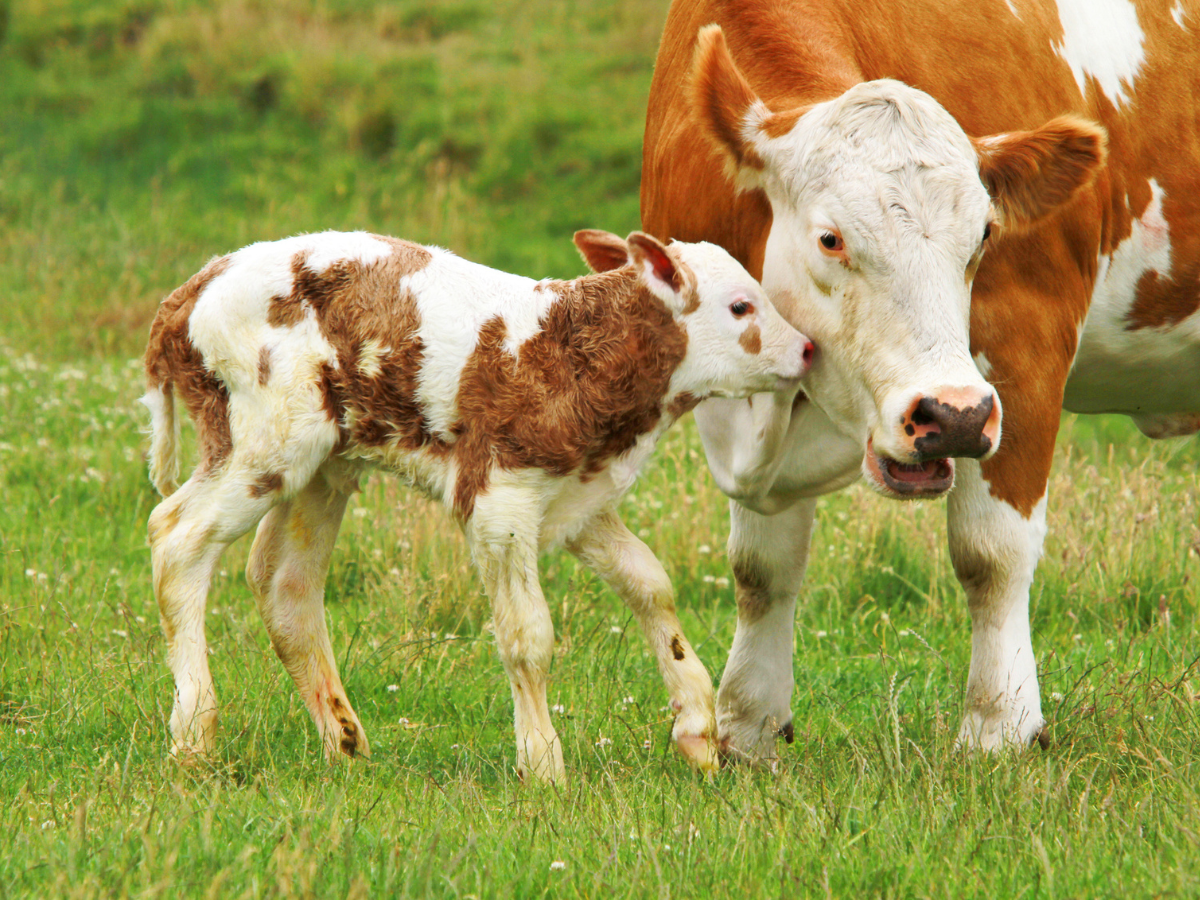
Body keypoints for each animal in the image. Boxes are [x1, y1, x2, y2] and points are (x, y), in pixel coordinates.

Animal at [141, 228, 811, 781]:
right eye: (741, 306)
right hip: (264, 439)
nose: (807, 349)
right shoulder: (499, 500)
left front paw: (696, 727)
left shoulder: (578, 497)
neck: (570, 353)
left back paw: (345, 742)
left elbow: (650, 584)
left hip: (324, 463)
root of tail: (194, 287)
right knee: (177, 537)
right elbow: (527, 634)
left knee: (284, 582)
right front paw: (542, 766)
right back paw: (194, 736)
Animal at [640, 0, 1199, 761]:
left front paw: (998, 728)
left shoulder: (1023, 349)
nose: (951, 415)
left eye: (985, 236)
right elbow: (761, 566)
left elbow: (992, 553)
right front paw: (748, 727)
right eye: (831, 239)